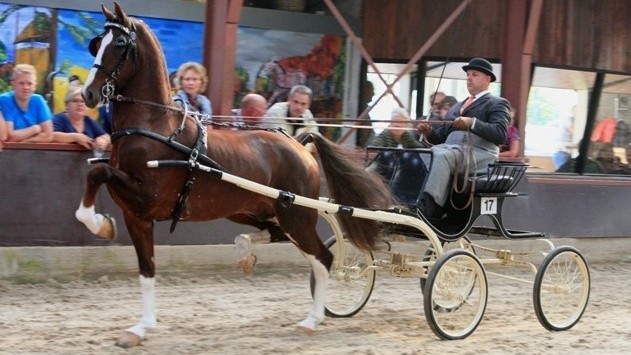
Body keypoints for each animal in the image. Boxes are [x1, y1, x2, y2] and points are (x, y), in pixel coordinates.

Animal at [76, 1, 392, 350]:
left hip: (295, 215)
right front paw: (141, 328)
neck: (155, 127)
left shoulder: (146, 197)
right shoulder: (138, 217)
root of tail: (300, 144)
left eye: (119, 44)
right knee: (278, 236)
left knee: (323, 258)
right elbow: (147, 269)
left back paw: (312, 320)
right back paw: (246, 253)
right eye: (96, 43)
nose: (88, 94)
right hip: (254, 210)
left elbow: (98, 172)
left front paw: (99, 224)